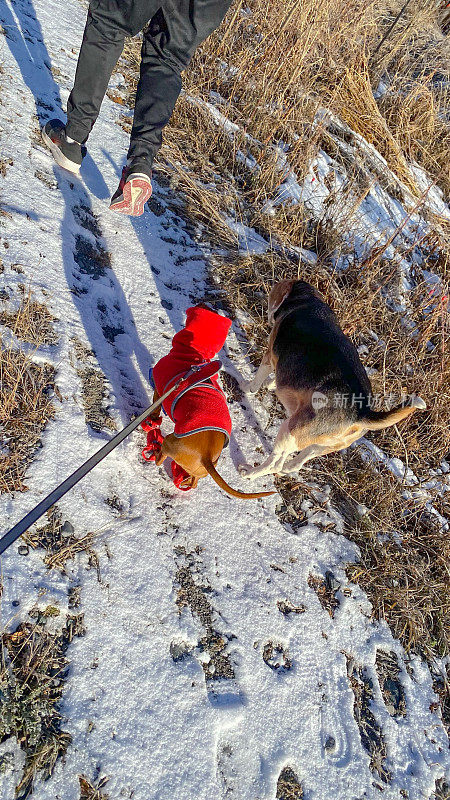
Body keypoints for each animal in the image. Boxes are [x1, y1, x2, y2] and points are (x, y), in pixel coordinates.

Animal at [148, 306, 274, 500]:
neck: (195, 354)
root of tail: (206, 455)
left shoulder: (160, 390)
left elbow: (154, 410)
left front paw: (151, 421)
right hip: (200, 470)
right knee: (194, 482)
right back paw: (183, 480)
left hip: (170, 442)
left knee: (160, 458)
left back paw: (156, 452)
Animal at [236, 282, 426, 482]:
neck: (308, 301)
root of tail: (362, 413)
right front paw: (271, 384)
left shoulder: (269, 356)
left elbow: (256, 382)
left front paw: (247, 387)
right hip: (319, 446)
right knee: (295, 463)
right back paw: (285, 469)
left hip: (289, 431)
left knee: (274, 463)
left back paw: (249, 473)